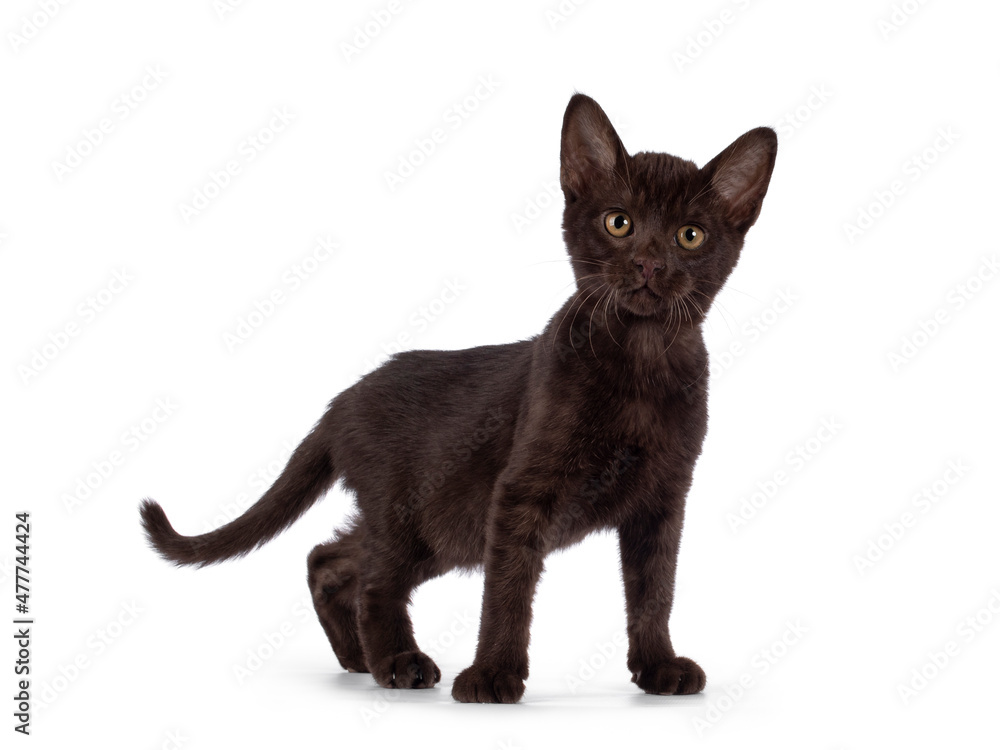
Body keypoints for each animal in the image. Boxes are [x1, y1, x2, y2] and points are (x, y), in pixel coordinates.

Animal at [141, 94, 776, 704]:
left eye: (690, 235)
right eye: (619, 222)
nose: (648, 262)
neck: (641, 364)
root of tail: (342, 400)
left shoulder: (663, 501)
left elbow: (654, 590)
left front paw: (658, 666)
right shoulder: (518, 495)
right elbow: (508, 590)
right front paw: (492, 675)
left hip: (441, 531)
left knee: (330, 559)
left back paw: (357, 657)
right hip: (413, 514)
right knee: (374, 579)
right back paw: (398, 663)